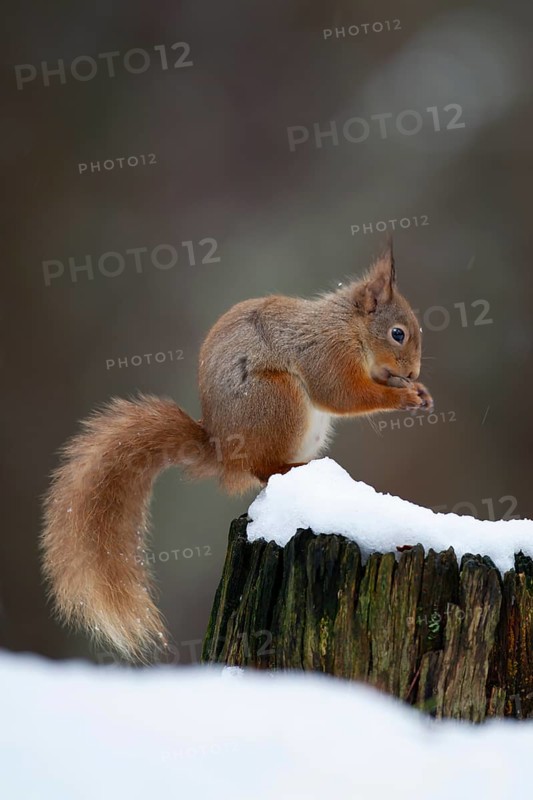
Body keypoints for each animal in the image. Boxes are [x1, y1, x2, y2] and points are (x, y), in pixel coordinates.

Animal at [41, 244, 433, 661]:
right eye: (397, 333)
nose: (412, 373)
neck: (346, 324)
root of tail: (222, 453)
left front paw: (419, 392)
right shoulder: (325, 355)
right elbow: (342, 394)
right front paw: (402, 397)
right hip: (278, 401)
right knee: (265, 468)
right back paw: (298, 471)